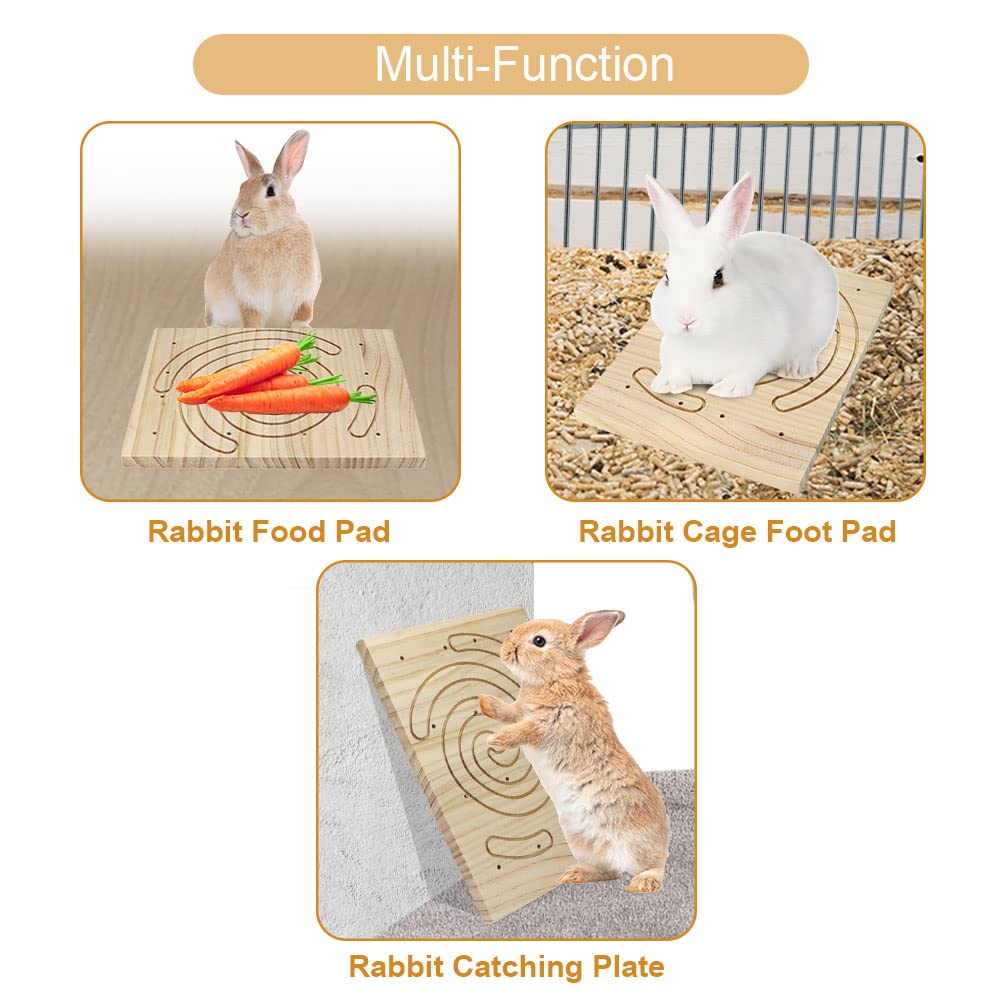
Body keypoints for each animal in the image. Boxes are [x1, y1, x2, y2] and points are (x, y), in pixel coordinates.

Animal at [204, 130, 321, 329]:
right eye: (241, 188)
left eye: (271, 191)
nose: (241, 213)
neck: (271, 233)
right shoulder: (249, 297)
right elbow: (252, 317)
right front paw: (254, 329)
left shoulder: (305, 292)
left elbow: (303, 313)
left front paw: (302, 328)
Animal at [479, 610, 670, 893]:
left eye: (539, 641)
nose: (506, 650)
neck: (556, 678)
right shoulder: (520, 711)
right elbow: (508, 712)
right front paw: (485, 702)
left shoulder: (551, 723)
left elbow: (523, 730)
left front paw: (496, 739)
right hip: (580, 841)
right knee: (609, 870)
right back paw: (575, 874)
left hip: (638, 842)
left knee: (654, 865)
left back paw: (642, 883)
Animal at [644, 172, 839, 398]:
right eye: (667, 276)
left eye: (718, 277)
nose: (686, 319)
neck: (703, 341)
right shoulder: (670, 351)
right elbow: (674, 370)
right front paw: (666, 385)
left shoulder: (758, 355)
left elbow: (745, 373)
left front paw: (727, 390)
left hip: (820, 327)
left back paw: (795, 370)